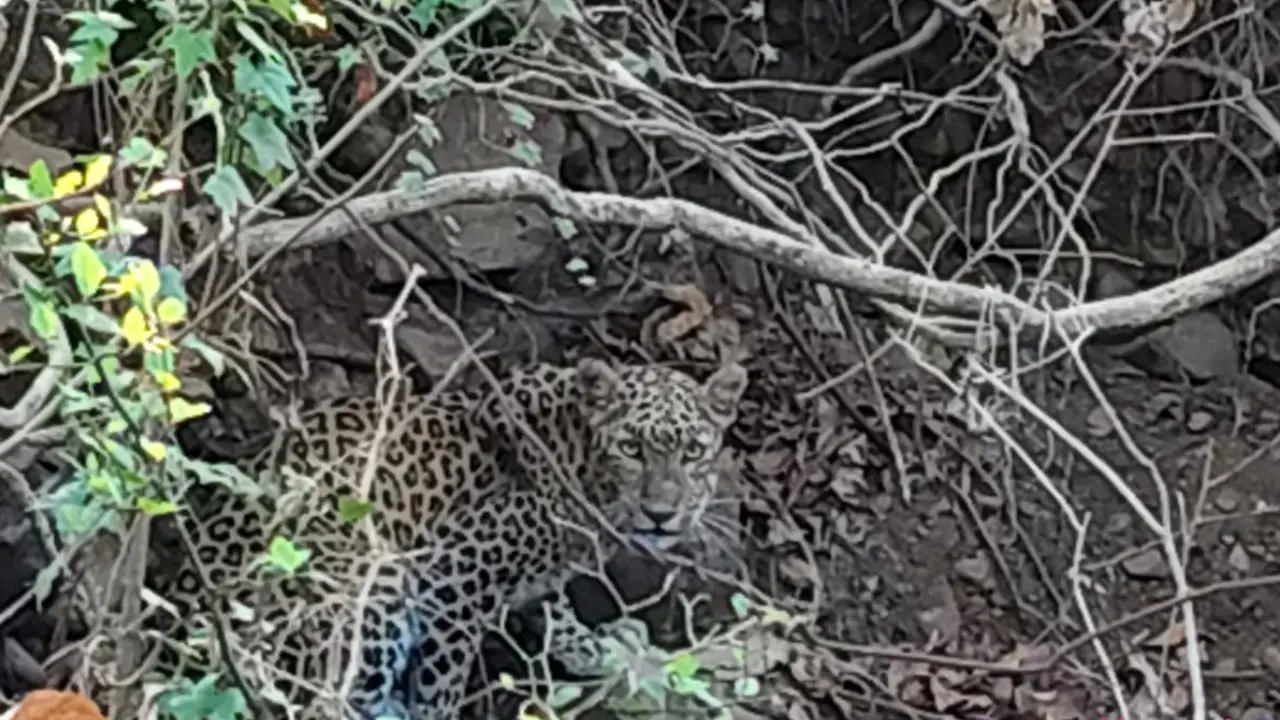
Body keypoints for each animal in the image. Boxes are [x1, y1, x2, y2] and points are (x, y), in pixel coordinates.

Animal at [151, 357, 749, 720]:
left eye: (693, 452)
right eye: (631, 448)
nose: (661, 514)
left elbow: (553, 607)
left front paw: (590, 647)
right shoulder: (455, 578)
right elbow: (443, 674)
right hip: (374, 584)